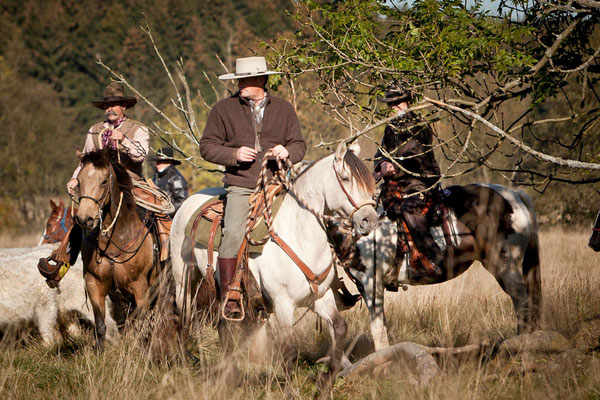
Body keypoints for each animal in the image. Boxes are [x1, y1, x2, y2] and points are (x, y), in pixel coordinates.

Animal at [72, 148, 176, 354]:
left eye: (104, 181)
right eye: (79, 180)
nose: (85, 219)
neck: (114, 240)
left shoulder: (140, 287)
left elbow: (143, 325)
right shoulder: (94, 285)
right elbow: (101, 325)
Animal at [169, 142, 376, 386]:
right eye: (345, 178)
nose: (370, 219)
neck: (299, 234)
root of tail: (188, 203)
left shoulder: (320, 298)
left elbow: (340, 328)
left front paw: (326, 380)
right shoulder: (282, 303)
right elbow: (288, 349)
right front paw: (289, 389)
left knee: (224, 326)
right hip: (184, 278)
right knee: (182, 318)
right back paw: (185, 365)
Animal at [338, 183, 544, 352]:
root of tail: (514, 195)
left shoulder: (372, 283)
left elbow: (377, 328)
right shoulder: (365, 286)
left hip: (506, 267)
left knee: (523, 304)